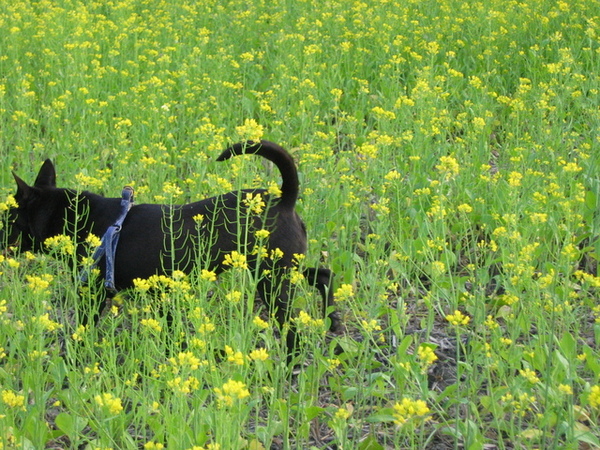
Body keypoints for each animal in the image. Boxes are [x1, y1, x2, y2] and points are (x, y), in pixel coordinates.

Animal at [2, 142, 340, 356]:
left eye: (5, 216)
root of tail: (284, 199)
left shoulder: (94, 292)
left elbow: (84, 325)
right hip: (284, 267)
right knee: (324, 275)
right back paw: (332, 326)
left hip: (273, 280)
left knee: (293, 327)